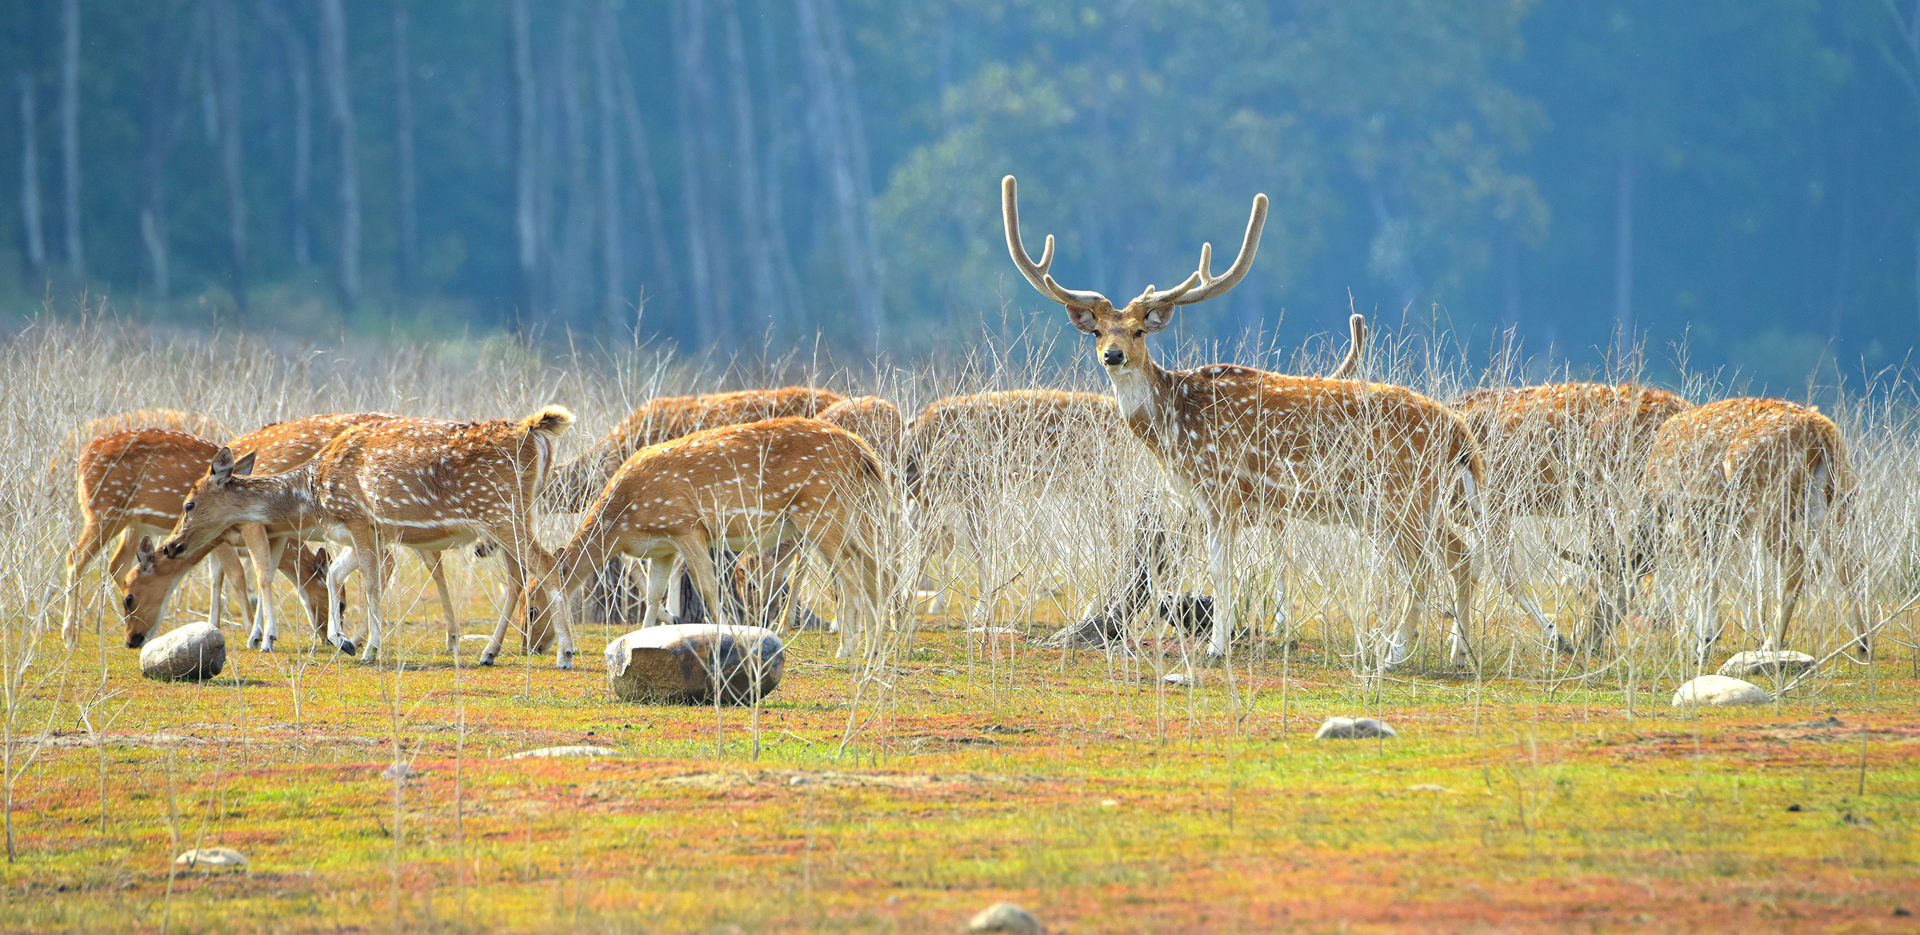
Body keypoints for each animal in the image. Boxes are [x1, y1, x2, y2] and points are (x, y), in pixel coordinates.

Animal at [60, 428, 329, 648]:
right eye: (337, 602)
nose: (131, 641)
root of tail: (81, 457)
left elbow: (219, 577)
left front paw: (217, 626)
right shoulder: (233, 533)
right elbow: (239, 576)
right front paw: (254, 634)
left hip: (131, 521)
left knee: (117, 564)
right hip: (103, 511)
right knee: (75, 557)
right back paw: (70, 636)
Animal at [158, 406, 575, 665]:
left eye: (188, 503)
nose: (170, 546)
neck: (314, 496)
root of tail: (535, 432)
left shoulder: (360, 520)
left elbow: (371, 585)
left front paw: (369, 648)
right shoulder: (369, 530)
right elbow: (336, 576)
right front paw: (341, 639)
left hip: (500, 511)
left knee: (547, 565)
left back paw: (564, 654)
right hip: (510, 518)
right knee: (521, 575)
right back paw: (490, 652)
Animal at [526, 416, 896, 662]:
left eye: (531, 609)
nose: (531, 646)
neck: (623, 523)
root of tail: (865, 455)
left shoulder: (686, 525)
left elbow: (707, 588)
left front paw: (728, 636)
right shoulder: (662, 548)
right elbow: (653, 596)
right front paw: (640, 641)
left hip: (819, 509)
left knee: (851, 573)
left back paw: (852, 649)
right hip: (854, 513)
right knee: (876, 568)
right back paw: (869, 648)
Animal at [1002, 175, 1485, 667]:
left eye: (1138, 330)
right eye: (1098, 331)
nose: (1113, 355)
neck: (1175, 424)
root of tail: (1460, 433)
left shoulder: (1219, 488)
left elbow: (1220, 567)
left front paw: (1217, 646)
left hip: (1399, 495)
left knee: (1426, 566)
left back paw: (1395, 652)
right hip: (1411, 503)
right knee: (1461, 556)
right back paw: (1458, 654)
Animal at [1585, 397, 1868, 661]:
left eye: (1603, 588)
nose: (1589, 639)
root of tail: (1821, 431)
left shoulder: (1690, 511)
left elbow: (1700, 576)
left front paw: (1702, 642)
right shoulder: (1717, 529)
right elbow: (1711, 575)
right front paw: (1706, 638)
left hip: (1768, 499)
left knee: (1799, 563)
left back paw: (1772, 644)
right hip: (1831, 497)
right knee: (1849, 564)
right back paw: (1864, 644)